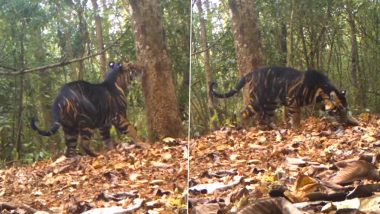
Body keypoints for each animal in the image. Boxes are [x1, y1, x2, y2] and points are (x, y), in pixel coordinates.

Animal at [211, 67, 360, 129]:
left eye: (345, 109)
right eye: (338, 109)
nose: (345, 122)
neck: (320, 91)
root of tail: (252, 73)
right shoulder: (292, 101)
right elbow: (296, 117)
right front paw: (297, 129)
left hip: (271, 104)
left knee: (266, 117)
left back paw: (272, 128)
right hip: (257, 101)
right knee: (243, 113)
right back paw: (246, 129)